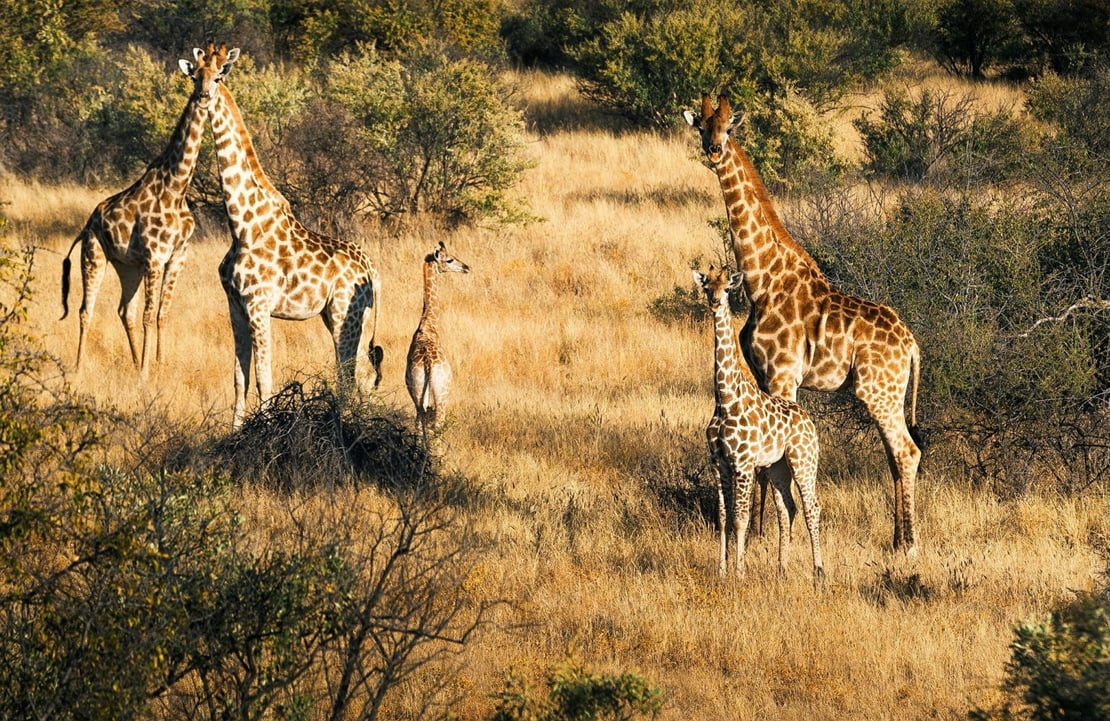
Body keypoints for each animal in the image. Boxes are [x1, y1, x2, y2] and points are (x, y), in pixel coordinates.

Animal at [59, 44, 228, 377]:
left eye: (217, 77)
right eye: (195, 77)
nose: (203, 95)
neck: (177, 187)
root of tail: (87, 225)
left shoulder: (177, 256)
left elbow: (162, 313)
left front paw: (158, 364)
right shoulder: (155, 256)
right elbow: (150, 315)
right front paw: (147, 375)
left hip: (127, 266)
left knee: (125, 310)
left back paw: (136, 361)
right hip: (94, 255)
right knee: (87, 310)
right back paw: (80, 367)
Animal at [205, 46, 386, 425]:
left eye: (219, 75)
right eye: (194, 73)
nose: (202, 95)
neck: (241, 226)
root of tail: (372, 269)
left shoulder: (258, 306)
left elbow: (264, 376)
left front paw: (263, 427)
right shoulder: (235, 305)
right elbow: (239, 377)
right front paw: (236, 430)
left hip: (344, 314)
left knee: (348, 374)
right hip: (351, 317)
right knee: (360, 375)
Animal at [408, 239, 472, 437]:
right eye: (449, 259)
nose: (466, 267)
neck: (429, 323)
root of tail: (429, 365)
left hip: (418, 394)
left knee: (420, 424)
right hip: (442, 395)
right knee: (437, 425)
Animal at [692, 266, 825, 581]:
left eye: (728, 288)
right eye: (706, 288)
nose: (715, 303)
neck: (725, 399)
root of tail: (809, 421)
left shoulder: (743, 463)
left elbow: (741, 519)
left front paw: (739, 573)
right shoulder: (718, 463)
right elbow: (724, 517)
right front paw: (722, 570)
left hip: (803, 460)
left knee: (812, 507)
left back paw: (819, 572)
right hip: (777, 467)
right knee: (788, 508)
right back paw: (781, 570)